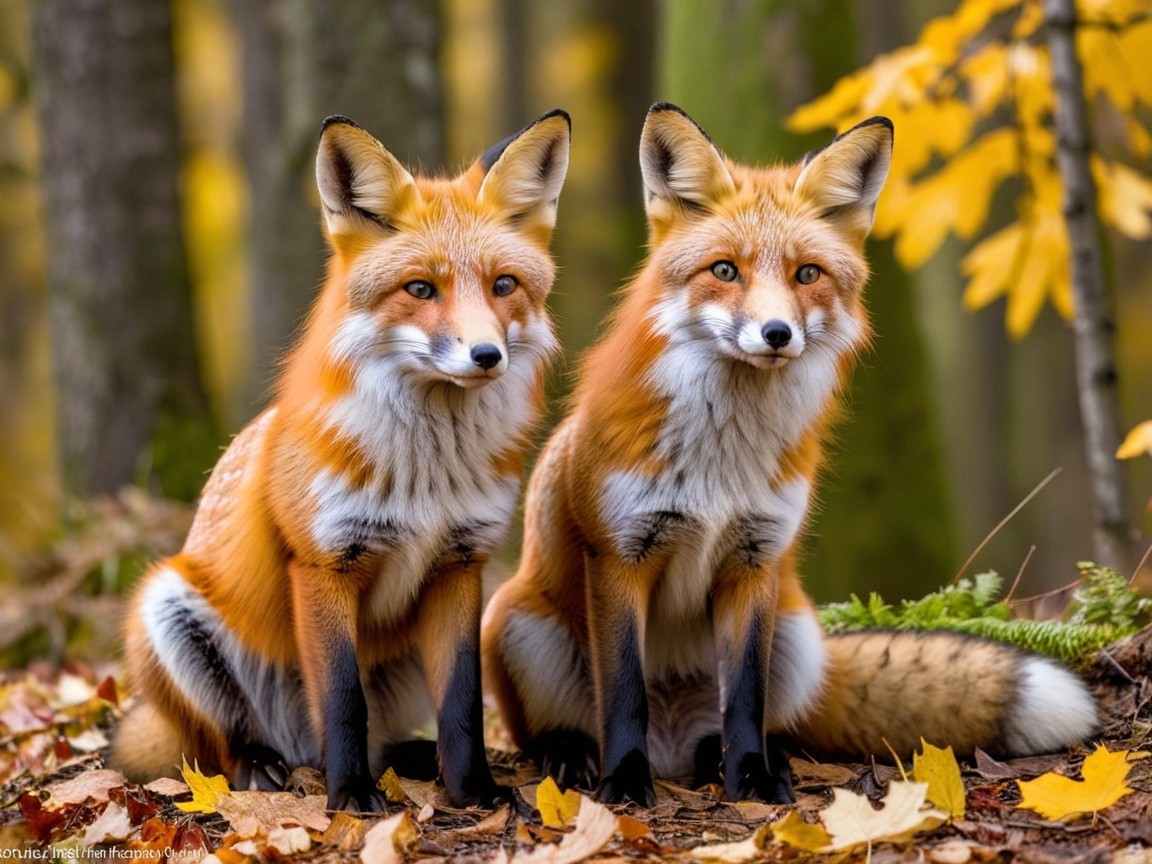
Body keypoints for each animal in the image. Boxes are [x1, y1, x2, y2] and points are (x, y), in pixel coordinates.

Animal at [113, 109, 571, 811]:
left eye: (503, 286)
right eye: (420, 289)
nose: (487, 355)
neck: (426, 475)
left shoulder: (459, 564)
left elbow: (463, 702)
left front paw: (473, 791)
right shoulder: (324, 563)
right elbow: (342, 699)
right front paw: (351, 794)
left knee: (388, 736)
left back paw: (408, 760)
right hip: (167, 609)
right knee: (221, 746)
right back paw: (265, 764)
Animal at [480, 103, 1097, 806]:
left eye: (807, 274)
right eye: (724, 270)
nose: (777, 334)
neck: (723, 461)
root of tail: (674, 745)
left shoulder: (756, 558)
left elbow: (746, 697)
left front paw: (752, 779)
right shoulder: (618, 556)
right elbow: (625, 693)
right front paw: (626, 784)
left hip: (796, 635)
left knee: (755, 723)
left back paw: (736, 760)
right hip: (516, 620)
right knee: (562, 727)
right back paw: (576, 757)